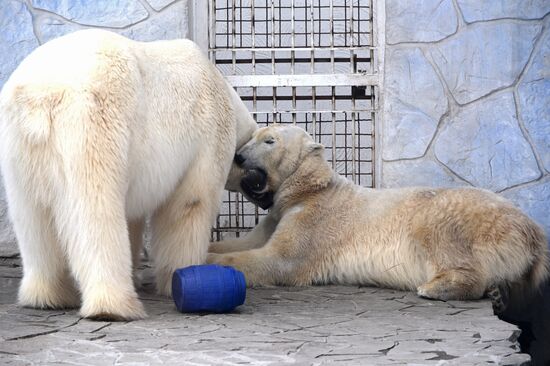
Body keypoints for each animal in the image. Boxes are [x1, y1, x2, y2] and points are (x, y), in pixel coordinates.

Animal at [0, 30, 258, 318]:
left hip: (19, 150)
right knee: (96, 212)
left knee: (33, 219)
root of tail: (41, 98)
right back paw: (113, 305)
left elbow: (133, 217)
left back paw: (47, 296)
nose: (250, 181)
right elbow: (189, 205)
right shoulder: (207, 140)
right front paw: (179, 274)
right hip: (96, 124)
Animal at [208, 124, 550, 308]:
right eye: (254, 136)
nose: (239, 156)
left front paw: (209, 261)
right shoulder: (277, 216)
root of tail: (533, 232)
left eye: (270, 140)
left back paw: (436, 287)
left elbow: (278, 260)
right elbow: (244, 242)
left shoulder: (315, 219)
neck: (307, 190)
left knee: (438, 232)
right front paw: (211, 247)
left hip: (460, 216)